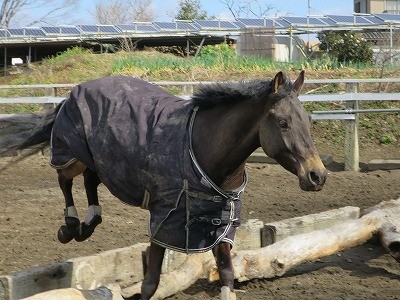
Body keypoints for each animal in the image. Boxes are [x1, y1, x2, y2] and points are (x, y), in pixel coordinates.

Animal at [0, 71, 326, 300]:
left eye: (308, 120)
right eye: (283, 123)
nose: (317, 176)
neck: (203, 150)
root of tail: (74, 91)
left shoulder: (220, 227)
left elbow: (227, 276)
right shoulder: (163, 222)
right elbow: (150, 283)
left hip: (100, 158)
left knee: (90, 180)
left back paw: (89, 222)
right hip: (72, 151)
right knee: (64, 178)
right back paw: (70, 226)